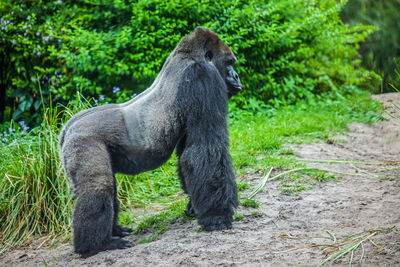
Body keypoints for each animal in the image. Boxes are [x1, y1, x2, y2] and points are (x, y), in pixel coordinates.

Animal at [58, 27, 242, 258]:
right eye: (229, 63)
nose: (236, 76)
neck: (191, 57)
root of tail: (68, 127)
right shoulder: (203, 78)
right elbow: (205, 149)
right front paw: (217, 217)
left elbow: (189, 156)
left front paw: (194, 206)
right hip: (83, 140)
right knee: (98, 186)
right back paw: (96, 245)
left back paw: (114, 230)